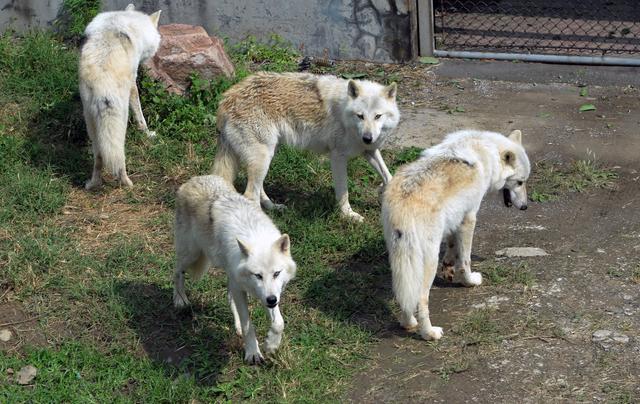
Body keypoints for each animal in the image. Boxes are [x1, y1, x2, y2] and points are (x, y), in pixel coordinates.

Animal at [79, 4, 161, 191]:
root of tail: (102, 82)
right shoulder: (133, 83)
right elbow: (140, 117)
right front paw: (148, 133)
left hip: (92, 125)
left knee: (99, 158)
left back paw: (93, 184)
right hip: (120, 121)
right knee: (118, 157)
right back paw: (127, 183)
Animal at [172, 175, 298, 364]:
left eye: (277, 273)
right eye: (258, 275)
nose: (271, 300)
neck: (255, 235)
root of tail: (194, 179)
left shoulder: (268, 293)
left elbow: (279, 323)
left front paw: (271, 345)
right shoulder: (245, 289)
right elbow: (248, 325)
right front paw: (253, 353)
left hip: (227, 272)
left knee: (229, 295)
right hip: (192, 254)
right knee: (176, 271)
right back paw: (180, 300)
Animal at [212, 70, 398, 221]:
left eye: (378, 116)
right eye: (360, 116)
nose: (367, 138)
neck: (344, 112)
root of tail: (225, 99)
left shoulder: (369, 151)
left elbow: (389, 177)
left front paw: (385, 194)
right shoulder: (337, 157)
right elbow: (343, 191)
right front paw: (349, 215)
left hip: (267, 156)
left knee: (257, 189)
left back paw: (273, 207)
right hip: (263, 157)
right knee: (250, 194)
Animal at [382, 129, 532, 340]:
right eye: (519, 182)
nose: (526, 207)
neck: (488, 151)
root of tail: (404, 201)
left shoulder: (455, 220)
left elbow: (452, 249)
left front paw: (448, 270)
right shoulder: (469, 219)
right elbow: (465, 261)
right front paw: (469, 281)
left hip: (401, 259)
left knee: (405, 295)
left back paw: (408, 323)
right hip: (428, 260)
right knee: (420, 298)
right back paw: (429, 333)